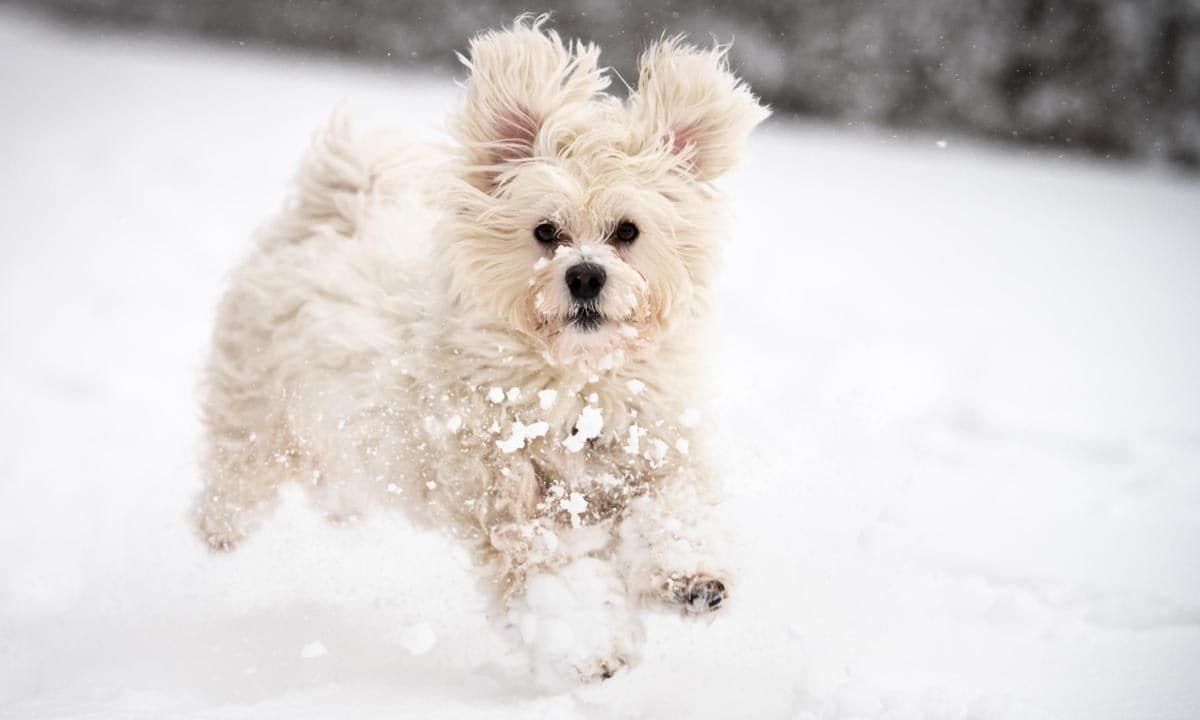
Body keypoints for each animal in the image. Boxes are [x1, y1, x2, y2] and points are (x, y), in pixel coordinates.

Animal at [189, 15, 768, 681]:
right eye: (546, 231)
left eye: (628, 231)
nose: (585, 275)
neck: (575, 382)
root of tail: (334, 210)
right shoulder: (505, 498)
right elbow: (548, 571)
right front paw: (590, 646)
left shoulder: (654, 450)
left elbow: (676, 506)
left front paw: (691, 576)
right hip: (257, 419)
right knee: (236, 478)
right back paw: (219, 536)